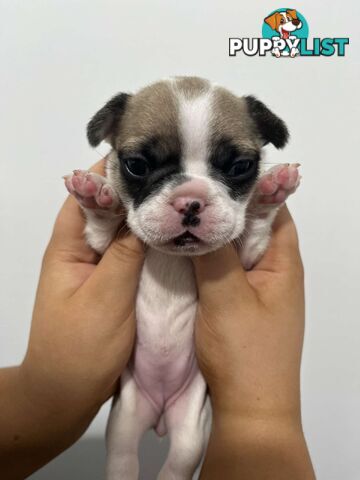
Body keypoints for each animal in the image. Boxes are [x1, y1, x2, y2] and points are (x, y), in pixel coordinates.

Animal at [64, 77, 300, 478]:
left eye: (240, 166)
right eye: (137, 165)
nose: (190, 200)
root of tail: (159, 416)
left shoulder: (248, 258)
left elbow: (252, 230)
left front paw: (268, 194)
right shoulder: (99, 248)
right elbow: (101, 228)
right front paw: (97, 197)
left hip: (191, 428)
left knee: (178, 464)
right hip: (124, 422)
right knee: (123, 458)